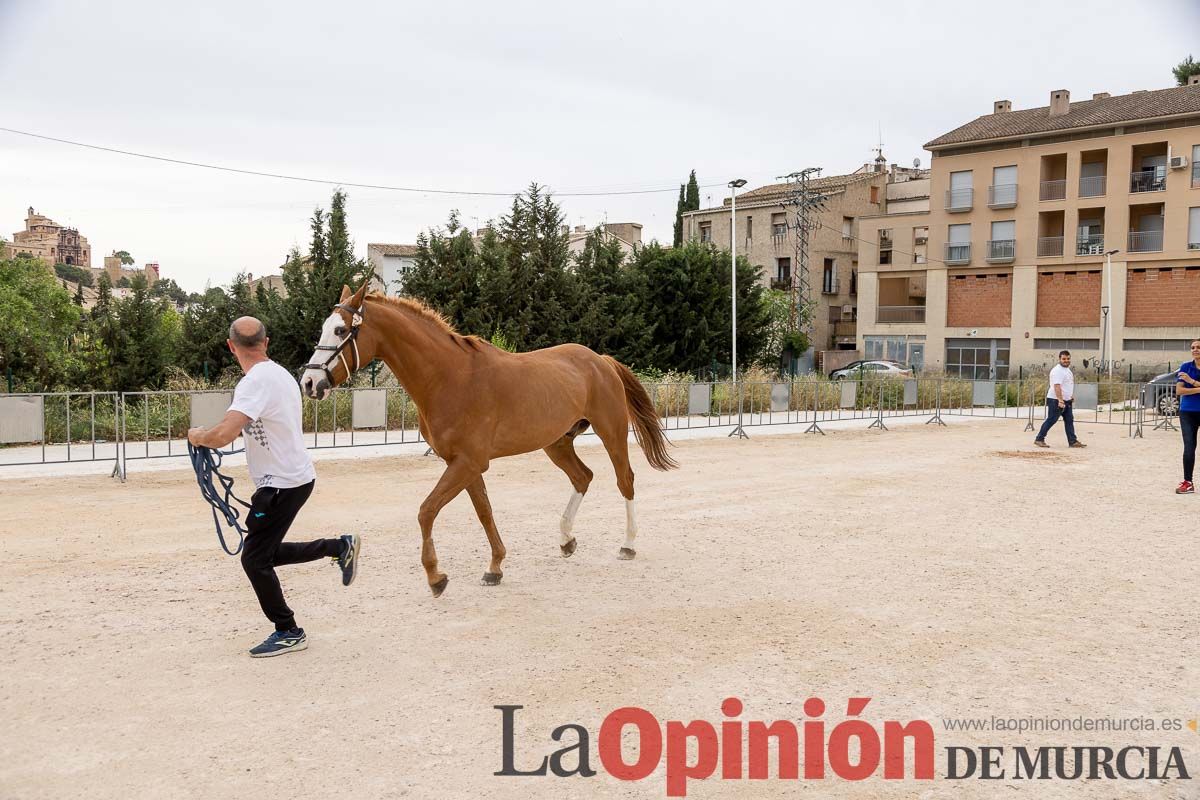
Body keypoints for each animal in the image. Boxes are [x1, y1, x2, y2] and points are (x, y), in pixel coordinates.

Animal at [300, 283, 676, 594]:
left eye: (340, 329)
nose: (308, 382)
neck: (448, 377)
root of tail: (601, 360)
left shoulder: (468, 462)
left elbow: (427, 510)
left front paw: (436, 577)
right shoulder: (463, 463)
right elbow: (484, 511)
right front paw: (495, 567)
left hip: (611, 432)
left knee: (624, 480)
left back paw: (627, 544)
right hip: (556, 443)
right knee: (583, 477)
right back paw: (566, 540)